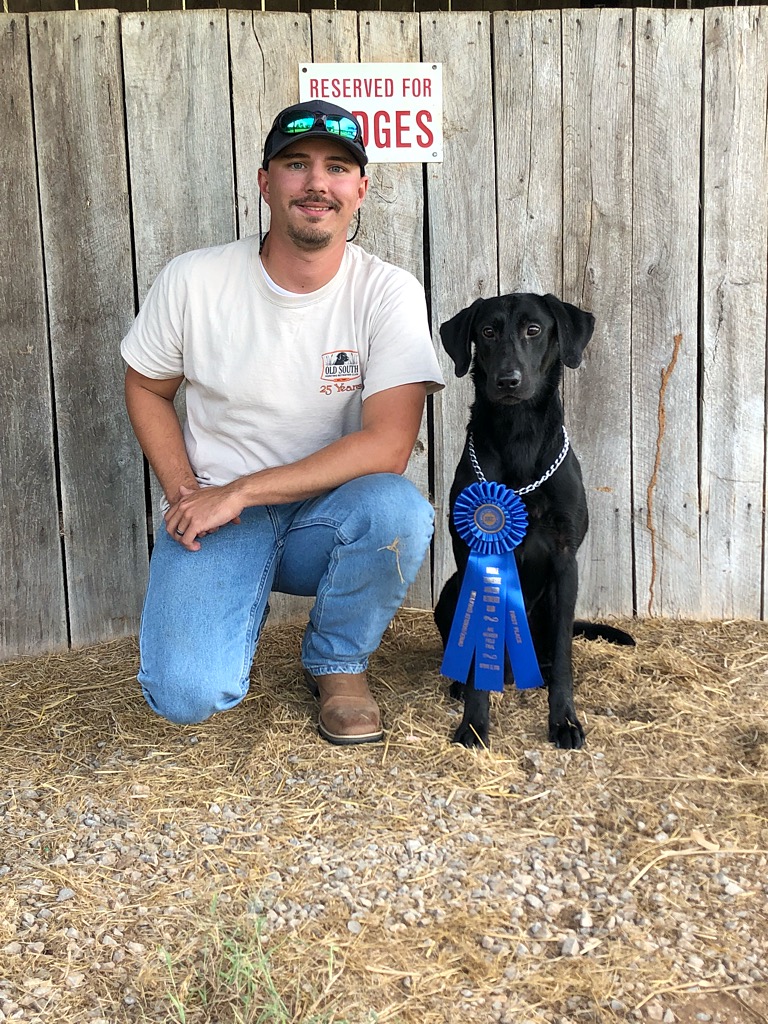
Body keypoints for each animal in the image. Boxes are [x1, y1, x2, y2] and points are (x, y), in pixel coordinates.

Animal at [436, 292, 634, 749]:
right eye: (487, 331)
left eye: (533, 329)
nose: (508, 380)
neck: (519, 434)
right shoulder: (473, 557)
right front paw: (474, 722)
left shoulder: (565, 560)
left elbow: (563, 658)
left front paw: (564, 720)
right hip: (450, 591)